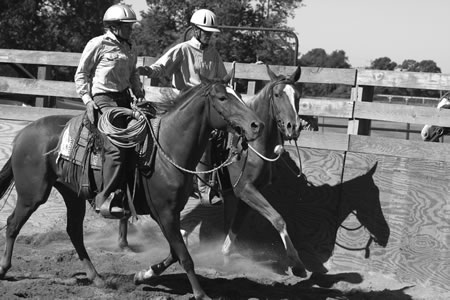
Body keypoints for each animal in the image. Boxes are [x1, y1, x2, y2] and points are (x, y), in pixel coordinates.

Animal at [0, 77, 266, 300]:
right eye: (222, 98)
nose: (256, 125)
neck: (167, 149)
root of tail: (23, 133)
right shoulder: (164, 213)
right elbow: (184, 256)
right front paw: (200, 294)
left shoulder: (168, 214)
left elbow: (174, 252)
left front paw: (142, 275)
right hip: (32, 194)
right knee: (13, 224)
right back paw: (4, 269)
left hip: (72, 194)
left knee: (74, 231)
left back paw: (97, 278)